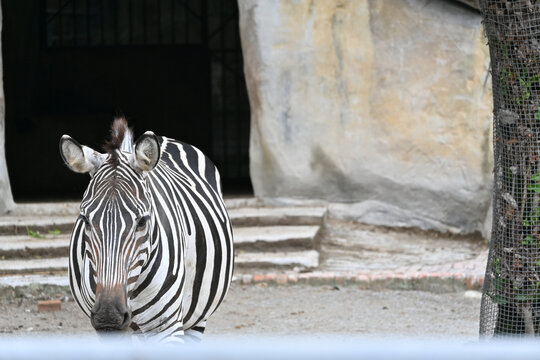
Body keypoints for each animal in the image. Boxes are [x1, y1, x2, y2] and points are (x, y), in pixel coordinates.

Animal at [58, 119, 233, 344]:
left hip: (197, 317)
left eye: (142, 222)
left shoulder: (166, 327)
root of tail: (163, 138)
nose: (108, 315)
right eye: (85, 221)